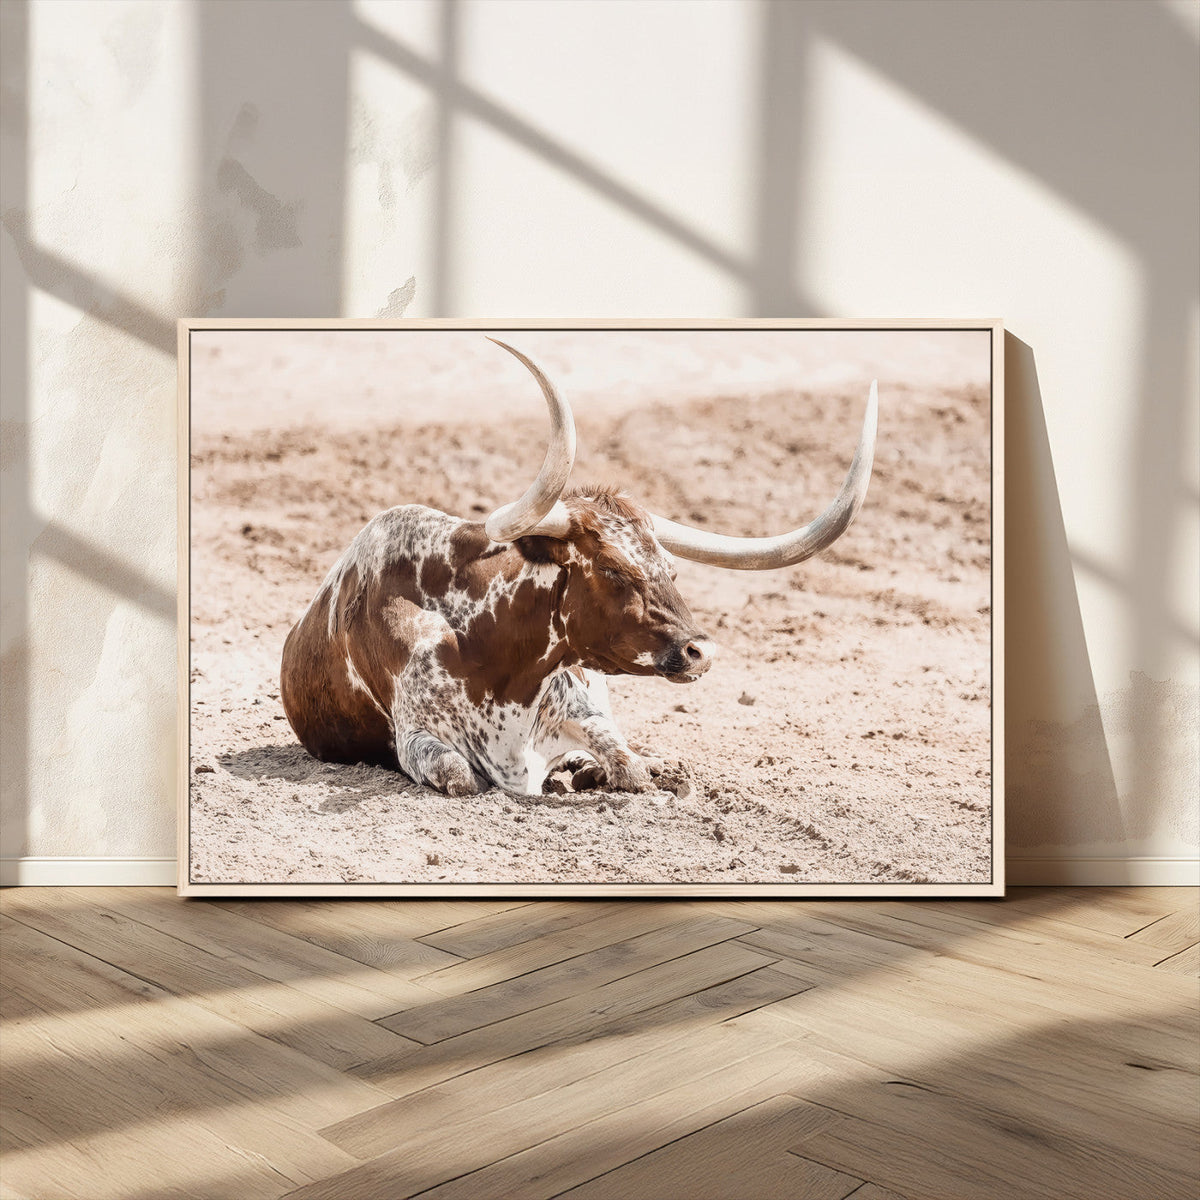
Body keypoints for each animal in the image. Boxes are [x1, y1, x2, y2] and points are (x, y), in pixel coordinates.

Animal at [280, 339, 877, 797]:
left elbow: (629, 765)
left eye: (671, 570)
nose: (700, 652)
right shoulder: (417, 740)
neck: (492, 654)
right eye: (612, 571)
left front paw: (623, 770)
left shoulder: (584, 707)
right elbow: (461, 775)